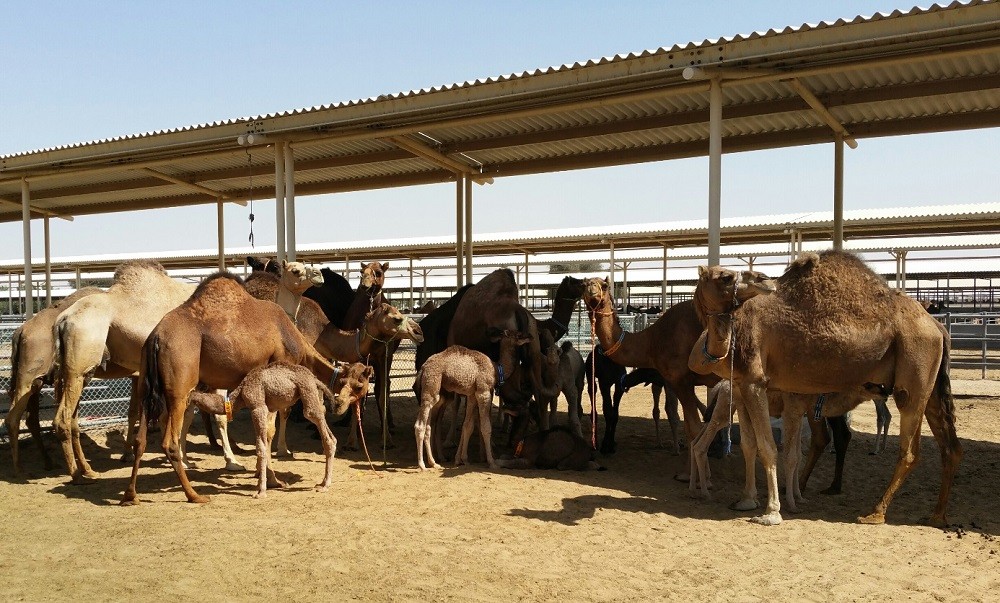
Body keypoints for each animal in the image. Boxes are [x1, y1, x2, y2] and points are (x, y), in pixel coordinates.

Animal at [5, 286, 101, 474]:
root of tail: (20, 331)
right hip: (29, 375)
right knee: (13, 418)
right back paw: (18, 468)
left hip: (37, 381)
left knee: (31, 419)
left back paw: (48, 462)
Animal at [188, 360, 372, 498]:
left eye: (194, 393)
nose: (187, 398)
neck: (238, 395)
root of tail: (314, 378)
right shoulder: (267, 408)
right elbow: (265, 442)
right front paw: (268, 483)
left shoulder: (257, 407)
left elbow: (261, 447)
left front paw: (261, 491)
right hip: (312, 396)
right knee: (330, 434)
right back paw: (322, 482)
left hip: (307, 394)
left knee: (322, 430)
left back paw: (325, 485)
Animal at [688, 248, 960, 528]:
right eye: (725, 277)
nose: (764, 280)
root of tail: (938, 327)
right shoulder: (741, 385)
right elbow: (750, 445)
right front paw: (746, 500)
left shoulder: (755, 381)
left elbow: (768, 447)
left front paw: (772, 512)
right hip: (931, 383)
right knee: (950, 446)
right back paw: (937, 516)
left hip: (915, 366)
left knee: (910, 450)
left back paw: (875, 513)